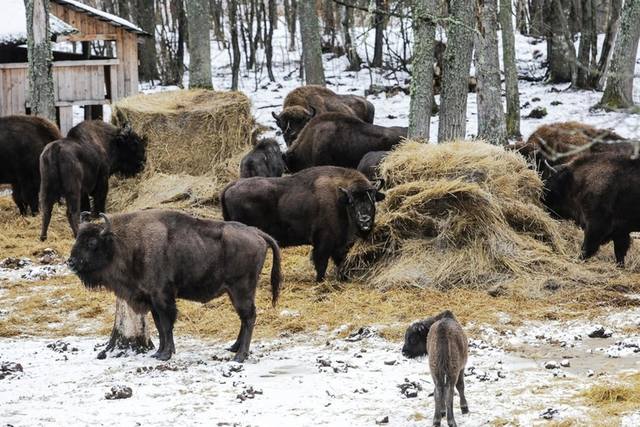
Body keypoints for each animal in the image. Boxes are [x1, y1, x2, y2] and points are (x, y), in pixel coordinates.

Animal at [65, 209, 282, 362]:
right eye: (77, 239)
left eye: (92, 242)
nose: (71, 262)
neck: (124, 242)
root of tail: (257, 233)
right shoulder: (151, 299)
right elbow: (160, 327)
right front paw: (159, 352)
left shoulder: (162, 297)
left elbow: (167, 324)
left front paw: (165, 355)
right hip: (235, 292)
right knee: (244, 319)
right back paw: (234, 348)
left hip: (241, 290)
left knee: (249, 317)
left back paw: (240, 356)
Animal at [221, 166, 384, 282]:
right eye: (352, 202)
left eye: (372, 200)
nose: (364, 219)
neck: (339, 199)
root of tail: (232, 186)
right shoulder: (323, 242)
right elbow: (321, 263)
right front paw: (320, 281)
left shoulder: (339, 244)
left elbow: (340, 261)